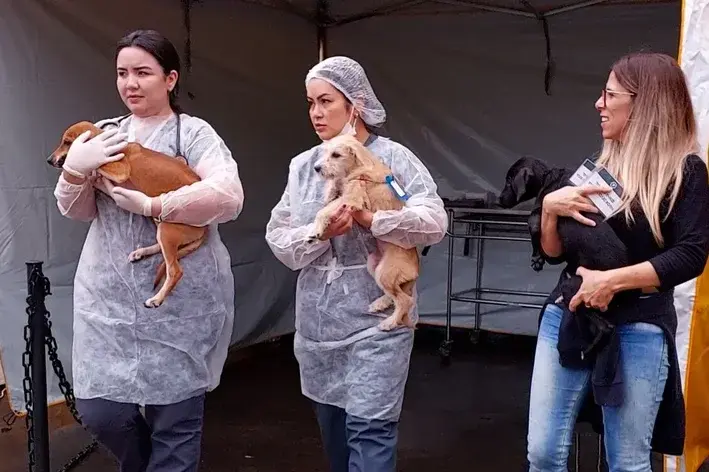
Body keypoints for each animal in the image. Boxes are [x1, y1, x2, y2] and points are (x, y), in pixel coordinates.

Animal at [47, 120, 205, 308]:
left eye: (67, 142)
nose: (49, 160)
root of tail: (206, 228)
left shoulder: (120, 171)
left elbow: (99, 168)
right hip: (160, 223)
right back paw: (141, 252)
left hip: (167, 229)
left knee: (174, 270)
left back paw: (156, 299)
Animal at [306, 135, 418, 330]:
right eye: (325, 152)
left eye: (336, 155)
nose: (316, 168)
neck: (358, 165)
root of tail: (416, 271)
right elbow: (334, 189)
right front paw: (330, 190)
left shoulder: (352, 199)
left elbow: (324, 210)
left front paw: (316, 230)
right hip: (373, 265)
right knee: (394, 295)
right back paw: (379, 304)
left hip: (385, 272)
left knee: (405, 301)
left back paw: (389, 322)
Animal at [496, 159, 628, 362]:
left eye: (509, 180)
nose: (498, 200)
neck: (547, 176)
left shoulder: (541, 210)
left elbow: (533, 224)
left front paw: (536, 259)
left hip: (575, 288)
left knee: (605, 327)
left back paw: (586, 351)